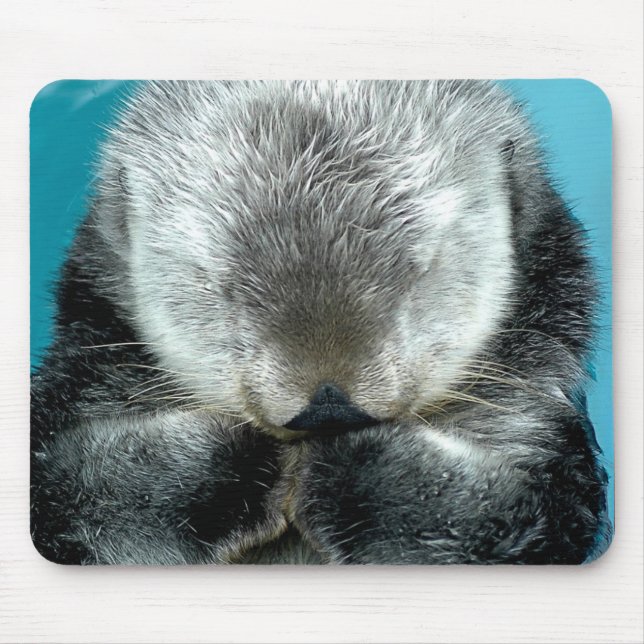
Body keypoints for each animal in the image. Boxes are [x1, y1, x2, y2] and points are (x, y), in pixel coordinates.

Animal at [31, 80, 611, 564]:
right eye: (224, 287)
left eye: (417, 274)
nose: (328, 404)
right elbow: (66, 491)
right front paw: (233, 469)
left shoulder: (538, 420)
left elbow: (527, 520)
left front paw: (351, 474)